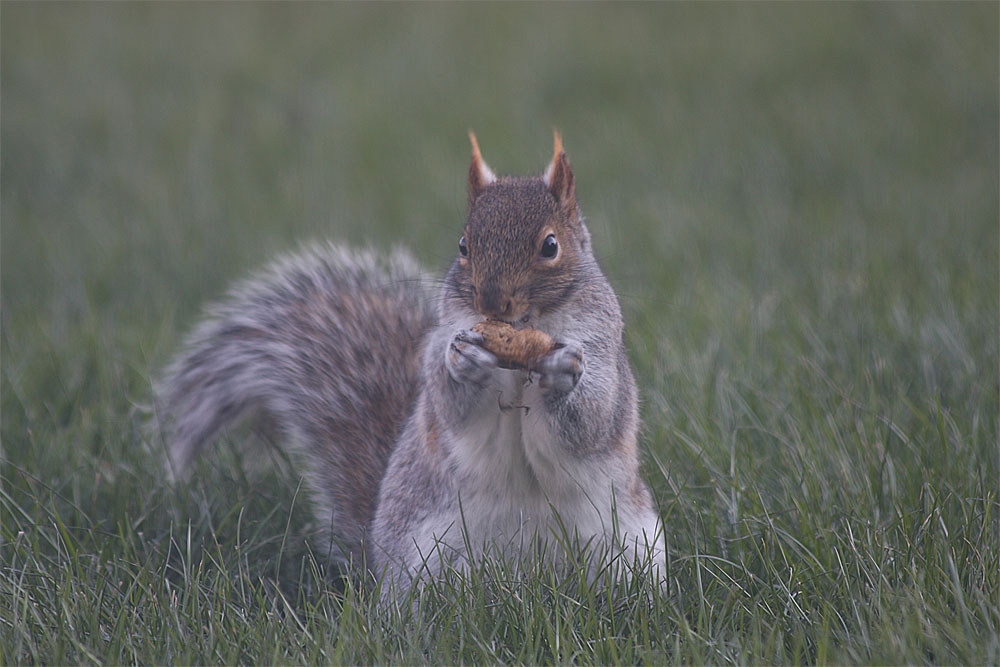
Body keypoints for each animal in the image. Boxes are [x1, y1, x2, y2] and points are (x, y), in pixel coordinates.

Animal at [156, 134, 668, 600]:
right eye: (463, 244)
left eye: (550, 246)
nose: (491, 301)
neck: (522, 334)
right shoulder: (444, 339)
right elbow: (448, 404)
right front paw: (463, 363)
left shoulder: (603, 344)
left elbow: (596, 417)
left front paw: (563, 373)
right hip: (427, 556)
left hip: (635, 549)